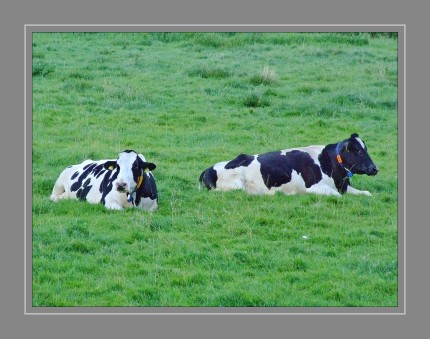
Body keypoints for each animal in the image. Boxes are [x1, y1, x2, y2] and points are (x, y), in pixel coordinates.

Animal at [200, 133, 378, 197]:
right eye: (358, 151)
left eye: (365, 149)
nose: (375, 169)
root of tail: (207, 170)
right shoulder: (314, 187)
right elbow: (337, 196)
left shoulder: (344, 186)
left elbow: (367, 193)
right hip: (236, 185)